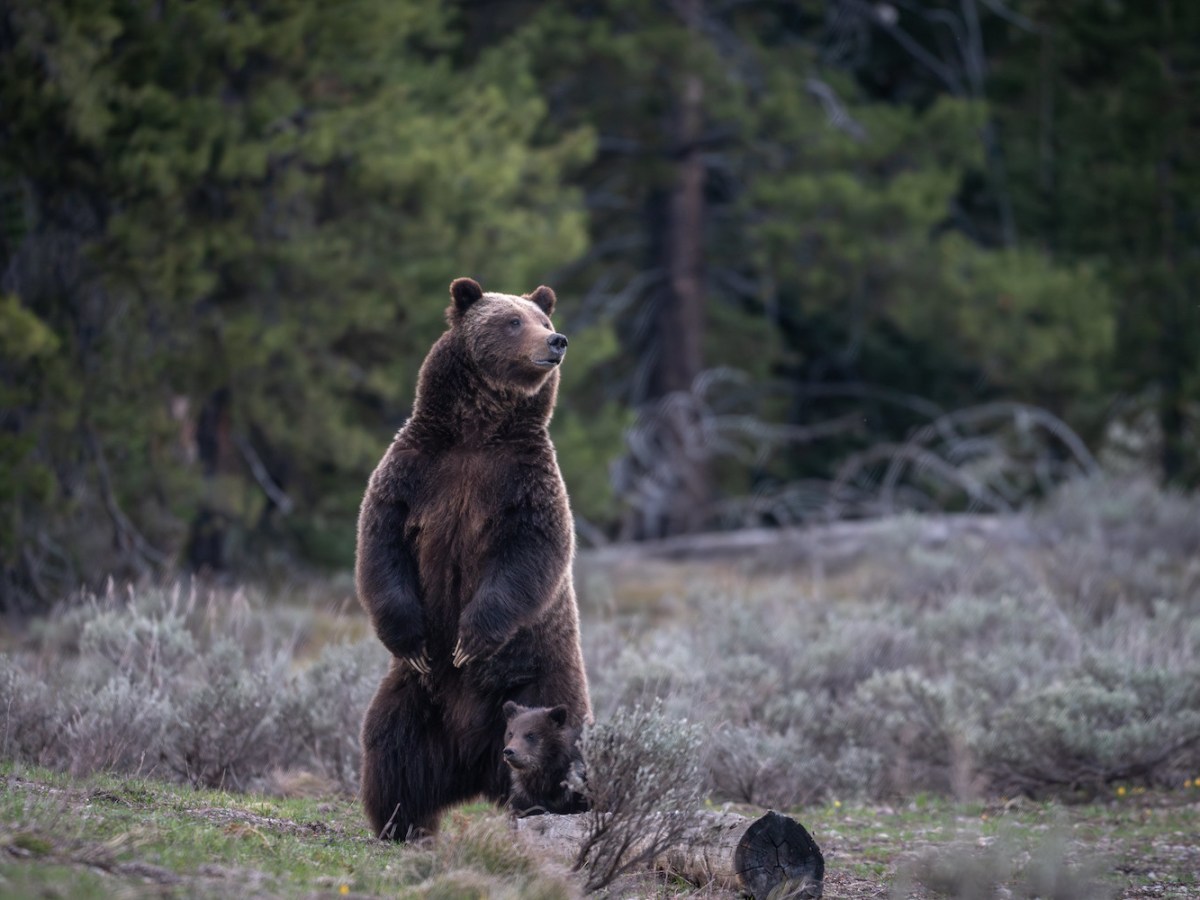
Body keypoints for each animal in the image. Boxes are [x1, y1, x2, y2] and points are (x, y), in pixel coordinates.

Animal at [356, 276, 592, 841]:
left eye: (544, 320)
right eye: (512, 321)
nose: (557, 342)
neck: (477, 431)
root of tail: (474, 763)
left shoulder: (524, 483)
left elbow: (530, 555)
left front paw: (470, 640)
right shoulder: (415, 471)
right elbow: (381, 545)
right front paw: (414, 639)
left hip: (542, 682)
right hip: (417, 699)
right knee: (391, 747)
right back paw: (401, 822)